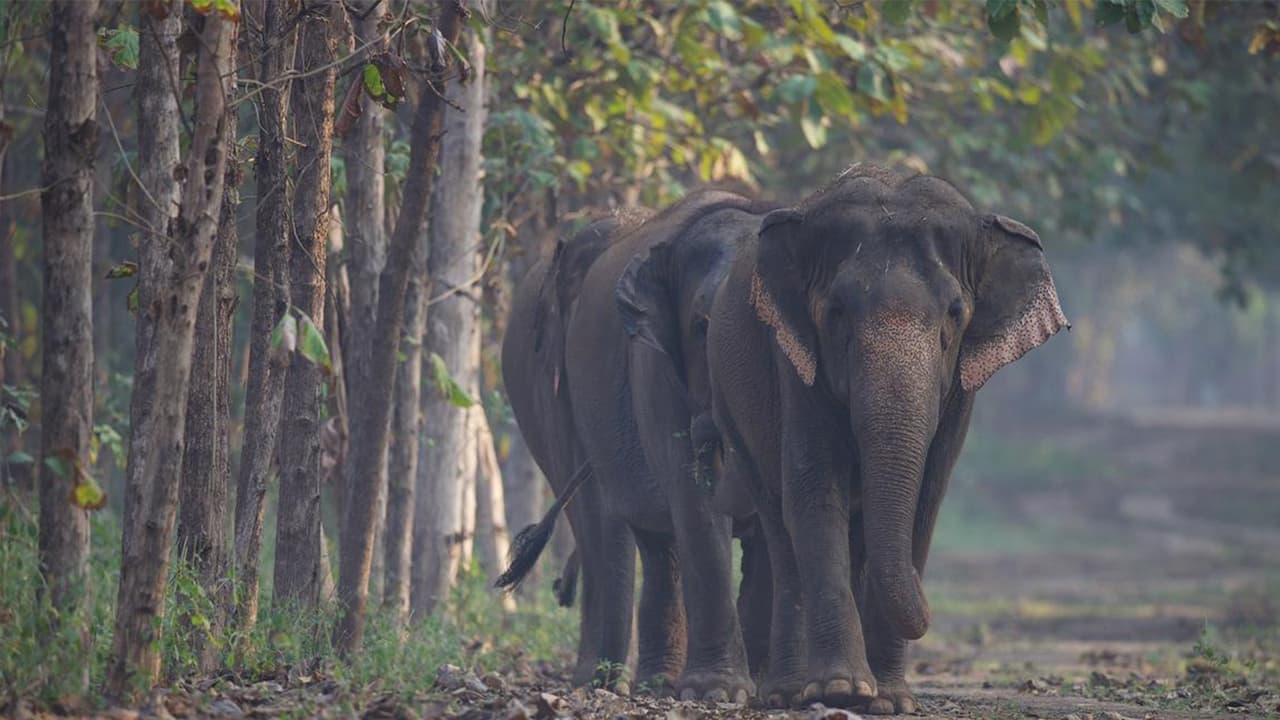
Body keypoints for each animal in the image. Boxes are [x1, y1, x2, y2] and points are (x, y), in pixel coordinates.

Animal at [706, 164, 1069, 713]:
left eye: (955, 313)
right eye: (835, 311)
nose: (930, 610)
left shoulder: (960, 388)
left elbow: (926, 498)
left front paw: (892, 701)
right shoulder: (794, 359)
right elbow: (814, 490)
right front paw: (842, 690)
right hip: (730, 402)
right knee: (778, 523)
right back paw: (788, 692)